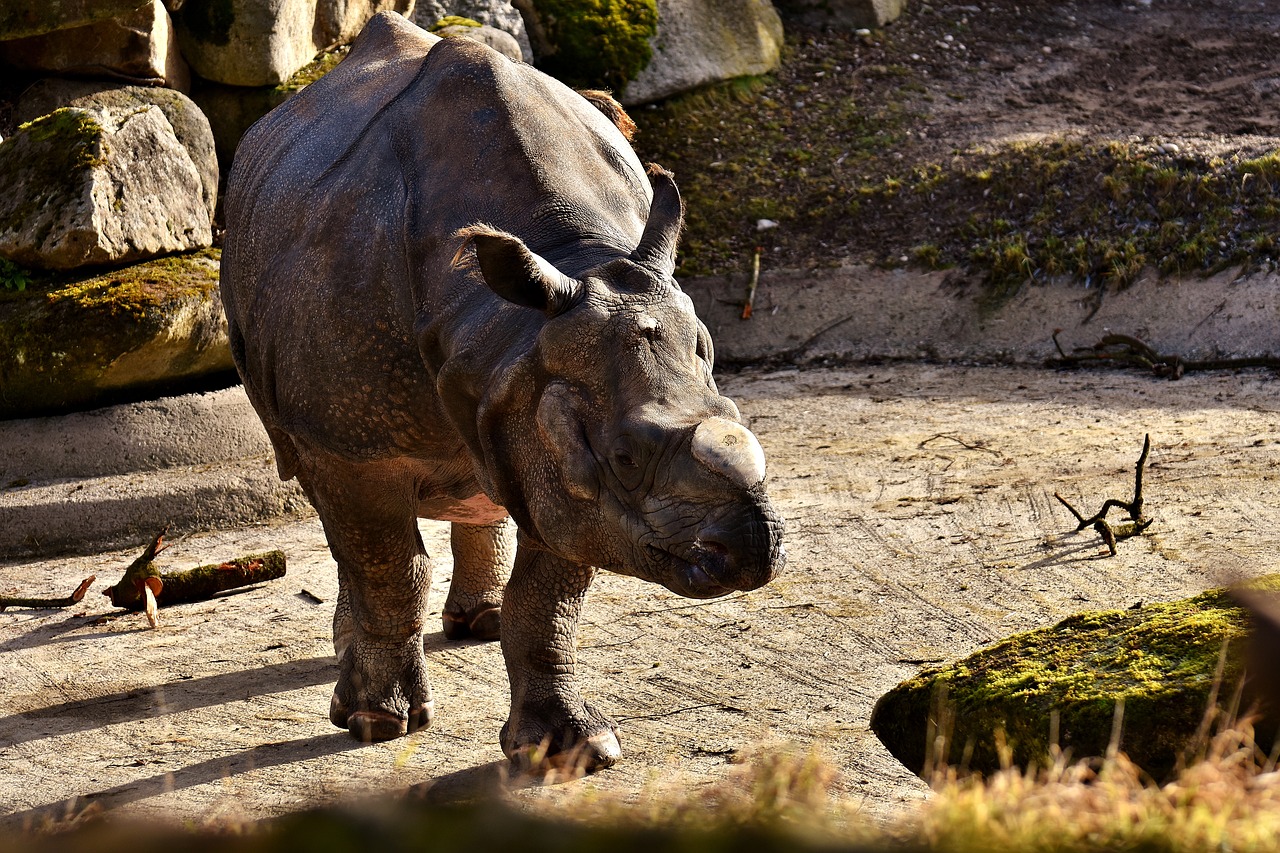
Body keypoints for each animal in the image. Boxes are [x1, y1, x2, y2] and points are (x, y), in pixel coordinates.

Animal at [220, 11, 778, 768]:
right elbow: (388, 565)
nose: (752, 546)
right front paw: (378, 723)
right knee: (348, 525)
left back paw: (477, 622)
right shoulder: (347, 440)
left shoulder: (551, 432)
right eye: (626, 458)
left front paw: (571, 750)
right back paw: (359, 684)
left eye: (735, 412)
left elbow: (549, 598)